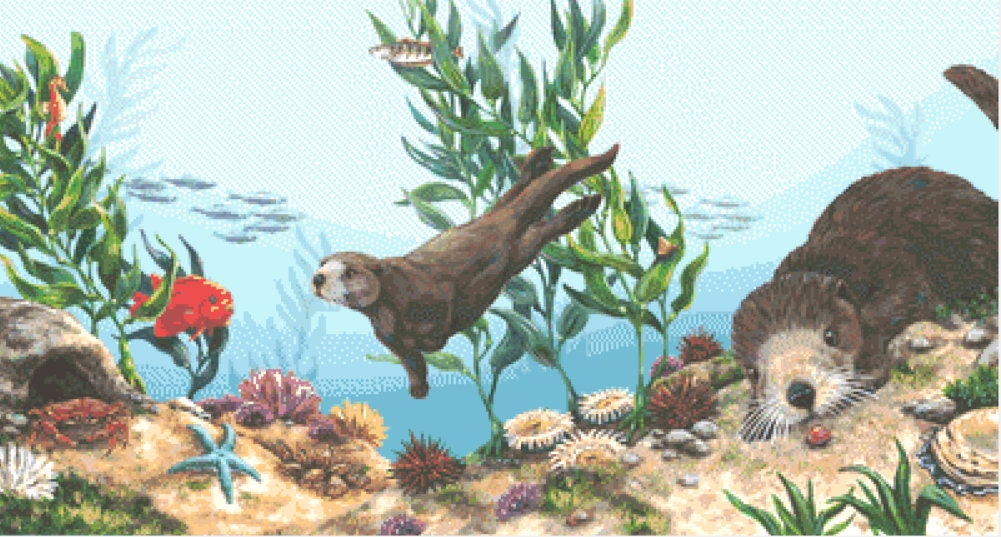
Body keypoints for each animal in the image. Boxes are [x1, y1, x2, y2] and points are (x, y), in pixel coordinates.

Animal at [312, 145, 620, 399]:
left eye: (349, 272)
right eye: (322, 263)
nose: (318, 277)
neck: (393, 304)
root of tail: (494, 223)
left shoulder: (431, 293)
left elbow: (438, 326)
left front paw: (434, 341)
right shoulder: (387, 334)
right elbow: (411, 361)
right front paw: (418, 388)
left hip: (514, 247)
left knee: (538, 226)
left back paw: (582, 206)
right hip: (506, 226)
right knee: (514, 197)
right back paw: (539, 163)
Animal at [733, 65, 998, 441]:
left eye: (830, 335)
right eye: (754, 372)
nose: (799, 392)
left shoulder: (891, 262)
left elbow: (902, 299)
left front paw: (870, 370)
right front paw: (753, 421)